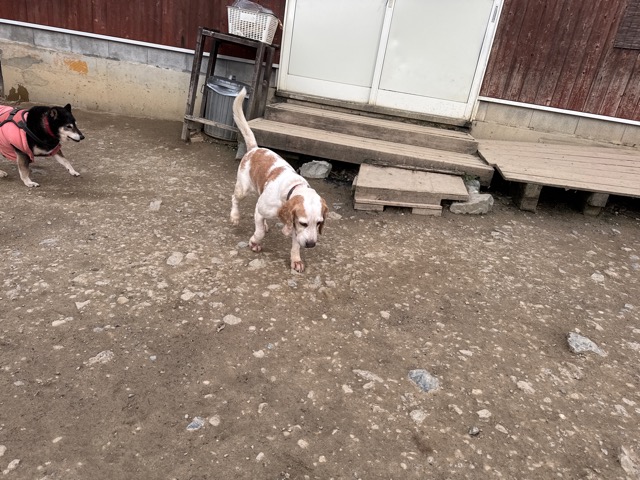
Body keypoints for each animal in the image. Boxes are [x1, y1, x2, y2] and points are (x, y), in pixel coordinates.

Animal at [230, 87, 328, 273]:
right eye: (304, 223)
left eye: (319, 222)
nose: (311, 244)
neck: (290, 190)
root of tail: (255, 149)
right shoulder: (265, 210)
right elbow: (259, 232)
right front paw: (254, 242)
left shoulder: (294, 226)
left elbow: (295, 245)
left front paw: (296, 260)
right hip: (243, 190)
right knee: (235, 199)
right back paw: (235, 216)